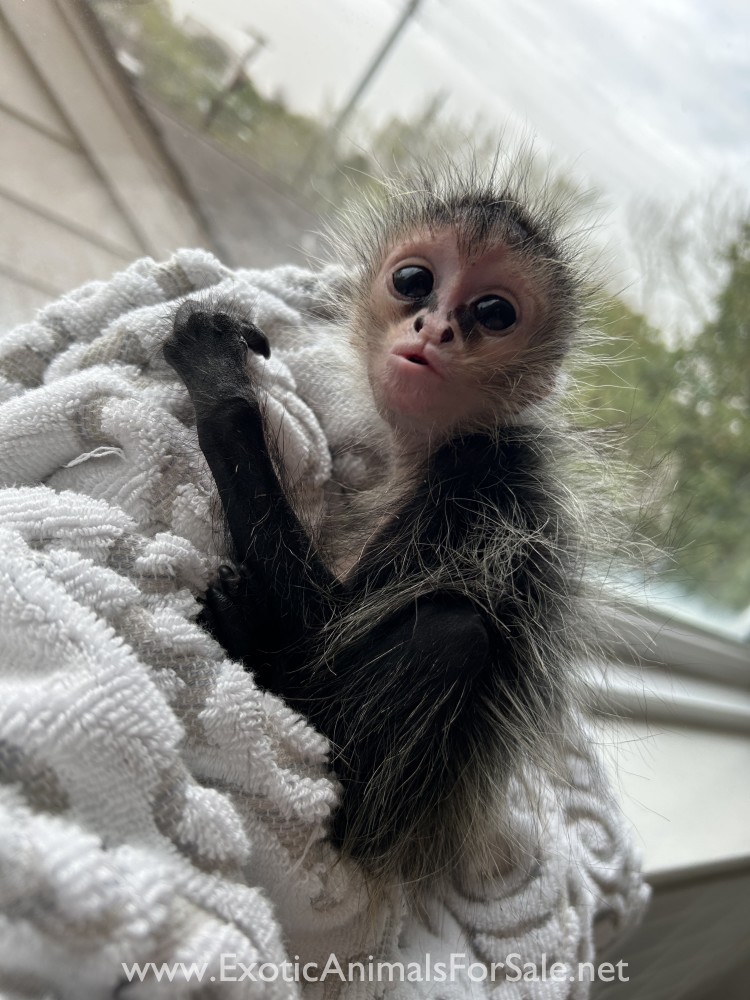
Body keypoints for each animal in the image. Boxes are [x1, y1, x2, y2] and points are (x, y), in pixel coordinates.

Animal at [162, 164, 594, 895]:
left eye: (494, 313)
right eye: (413, 280)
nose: (436, 327)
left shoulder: (480, 491)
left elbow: (320, 629)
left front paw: (222, 384)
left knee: (455, 631)